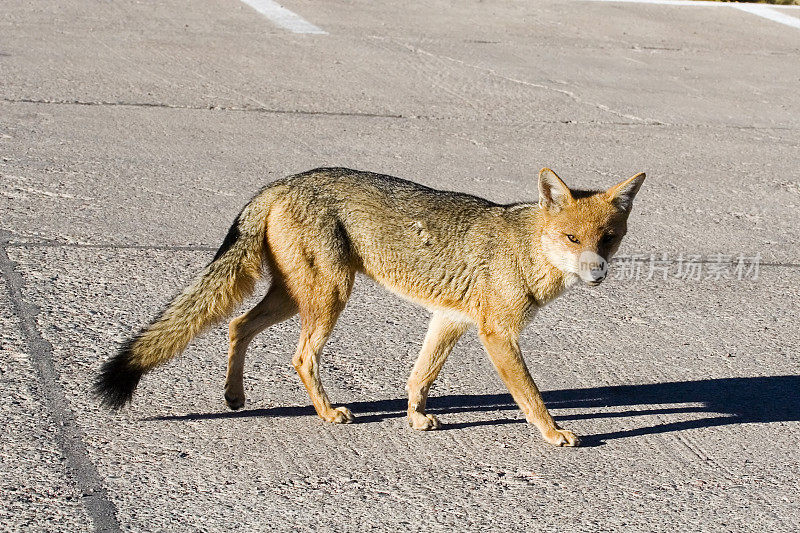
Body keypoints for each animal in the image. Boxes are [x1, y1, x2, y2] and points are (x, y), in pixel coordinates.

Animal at [95, 166, 644, 444]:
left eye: (608, 239)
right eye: (571, 238)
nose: (598, 273)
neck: (526, 250)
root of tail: (283, 181)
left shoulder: (450, 319)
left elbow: (420, 376)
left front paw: (416, 418)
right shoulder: (497, 335)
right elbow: (530, 395)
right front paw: (554, 433)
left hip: (294, 296)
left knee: (237, 325)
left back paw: (234, 396)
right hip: (330, 297)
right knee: (300, 357)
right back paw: (326, 412)